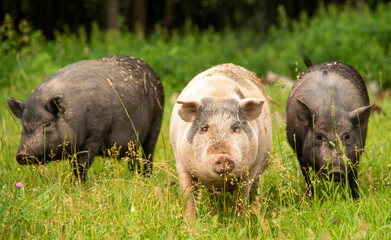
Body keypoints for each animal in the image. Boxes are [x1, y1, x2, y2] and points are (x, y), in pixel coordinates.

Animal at [7, 55, 164, 181]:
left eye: (47, 124)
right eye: (23, 126)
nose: (22, 154)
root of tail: (154, 73)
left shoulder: (94, 138)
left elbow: (81, 166)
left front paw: (79, 185)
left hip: (156, 124)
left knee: (148, 153)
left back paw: (146, 177)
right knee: (133, 157)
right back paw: (135, 176)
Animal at [170, 63, 274, 218]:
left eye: (236, 127)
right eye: (204, 128)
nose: (223, 156)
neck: (219, 95)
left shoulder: (250, 169)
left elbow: (241, 197)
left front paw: (241, 219)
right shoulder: (181, 163)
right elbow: (188, 195)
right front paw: (190, 222)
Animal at [286, 57, 376, 199]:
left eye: (347, 136)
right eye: (319, 136)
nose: (336, 170)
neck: (331, 110)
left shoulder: (356, 153)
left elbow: (353, 177)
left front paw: (356, 199)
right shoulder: (300, 154)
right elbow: (308, 179)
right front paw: (312, 199)